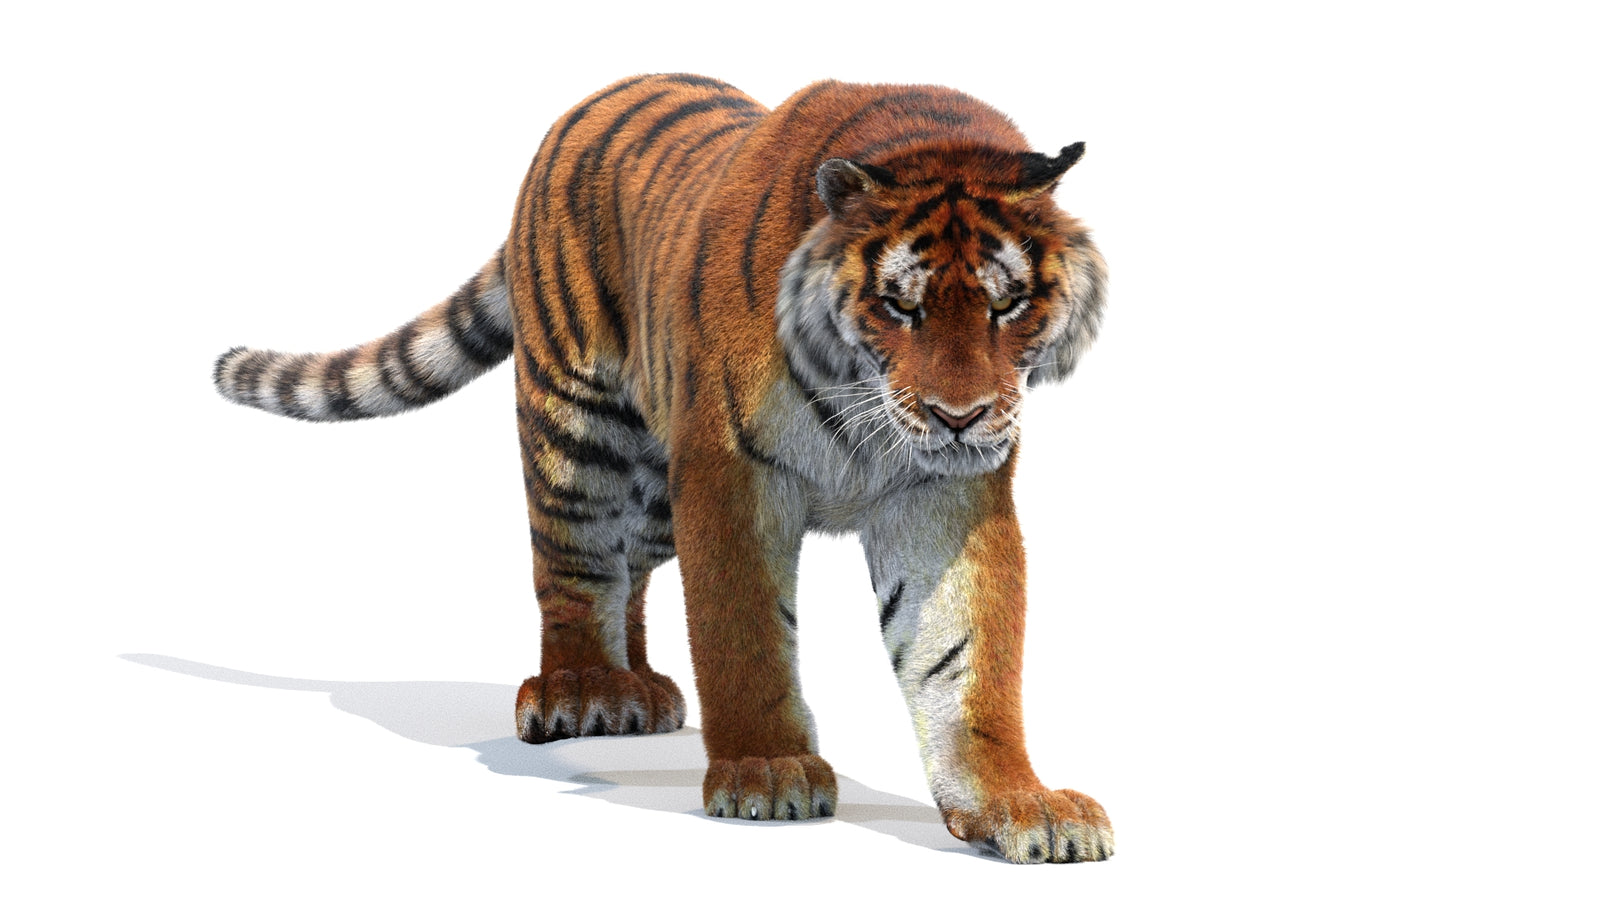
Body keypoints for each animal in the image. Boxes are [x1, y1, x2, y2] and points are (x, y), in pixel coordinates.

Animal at [213, 74, 1111, 864]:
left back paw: (638, 686)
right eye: (900, 305)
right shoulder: (730, 475)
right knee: (575, 571)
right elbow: (742, 633)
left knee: (630, 575)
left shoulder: (942, 497)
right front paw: (767, 772)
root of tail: (598, 97)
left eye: (1006, 303)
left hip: (654, 485)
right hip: (580, 432)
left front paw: (1018, 804)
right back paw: (585, 689)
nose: (961, 417)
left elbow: (965, 660)